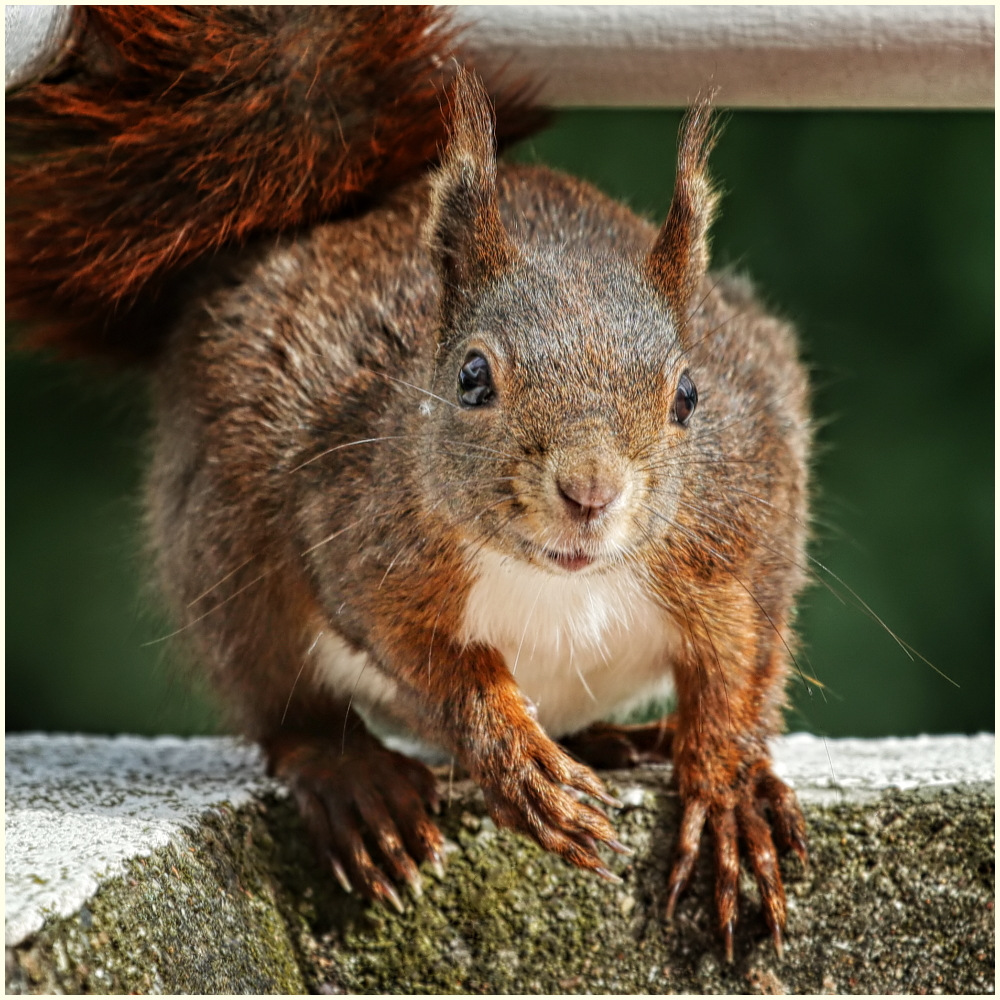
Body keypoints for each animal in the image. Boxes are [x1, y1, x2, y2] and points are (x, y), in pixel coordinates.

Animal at [7, 5, 812, 960]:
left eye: (689, 394)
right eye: (471, 376)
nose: (590, 493)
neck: (556, 580)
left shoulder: (739, 535)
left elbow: (741, 659)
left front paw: (726, 786)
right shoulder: (359, 531)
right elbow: (427, 660)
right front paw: (513, 759)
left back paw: (632, 740)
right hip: (228, 562)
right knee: (287, 711)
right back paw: (358, 781)